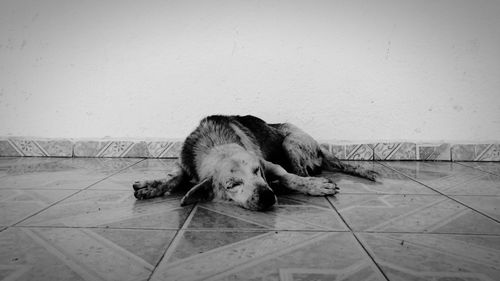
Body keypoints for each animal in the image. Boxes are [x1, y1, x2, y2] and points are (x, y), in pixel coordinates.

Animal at [133, 114, 376, 210]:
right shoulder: (184, 164)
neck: (214, 143)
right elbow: (173, 177)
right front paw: (152, 185)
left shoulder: (268, 164)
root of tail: (320, 145)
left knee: (301, 172)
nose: (267, 196)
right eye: (232, 185)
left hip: (289, 141)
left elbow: (289, 177)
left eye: (257, 171)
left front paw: (313, 186)